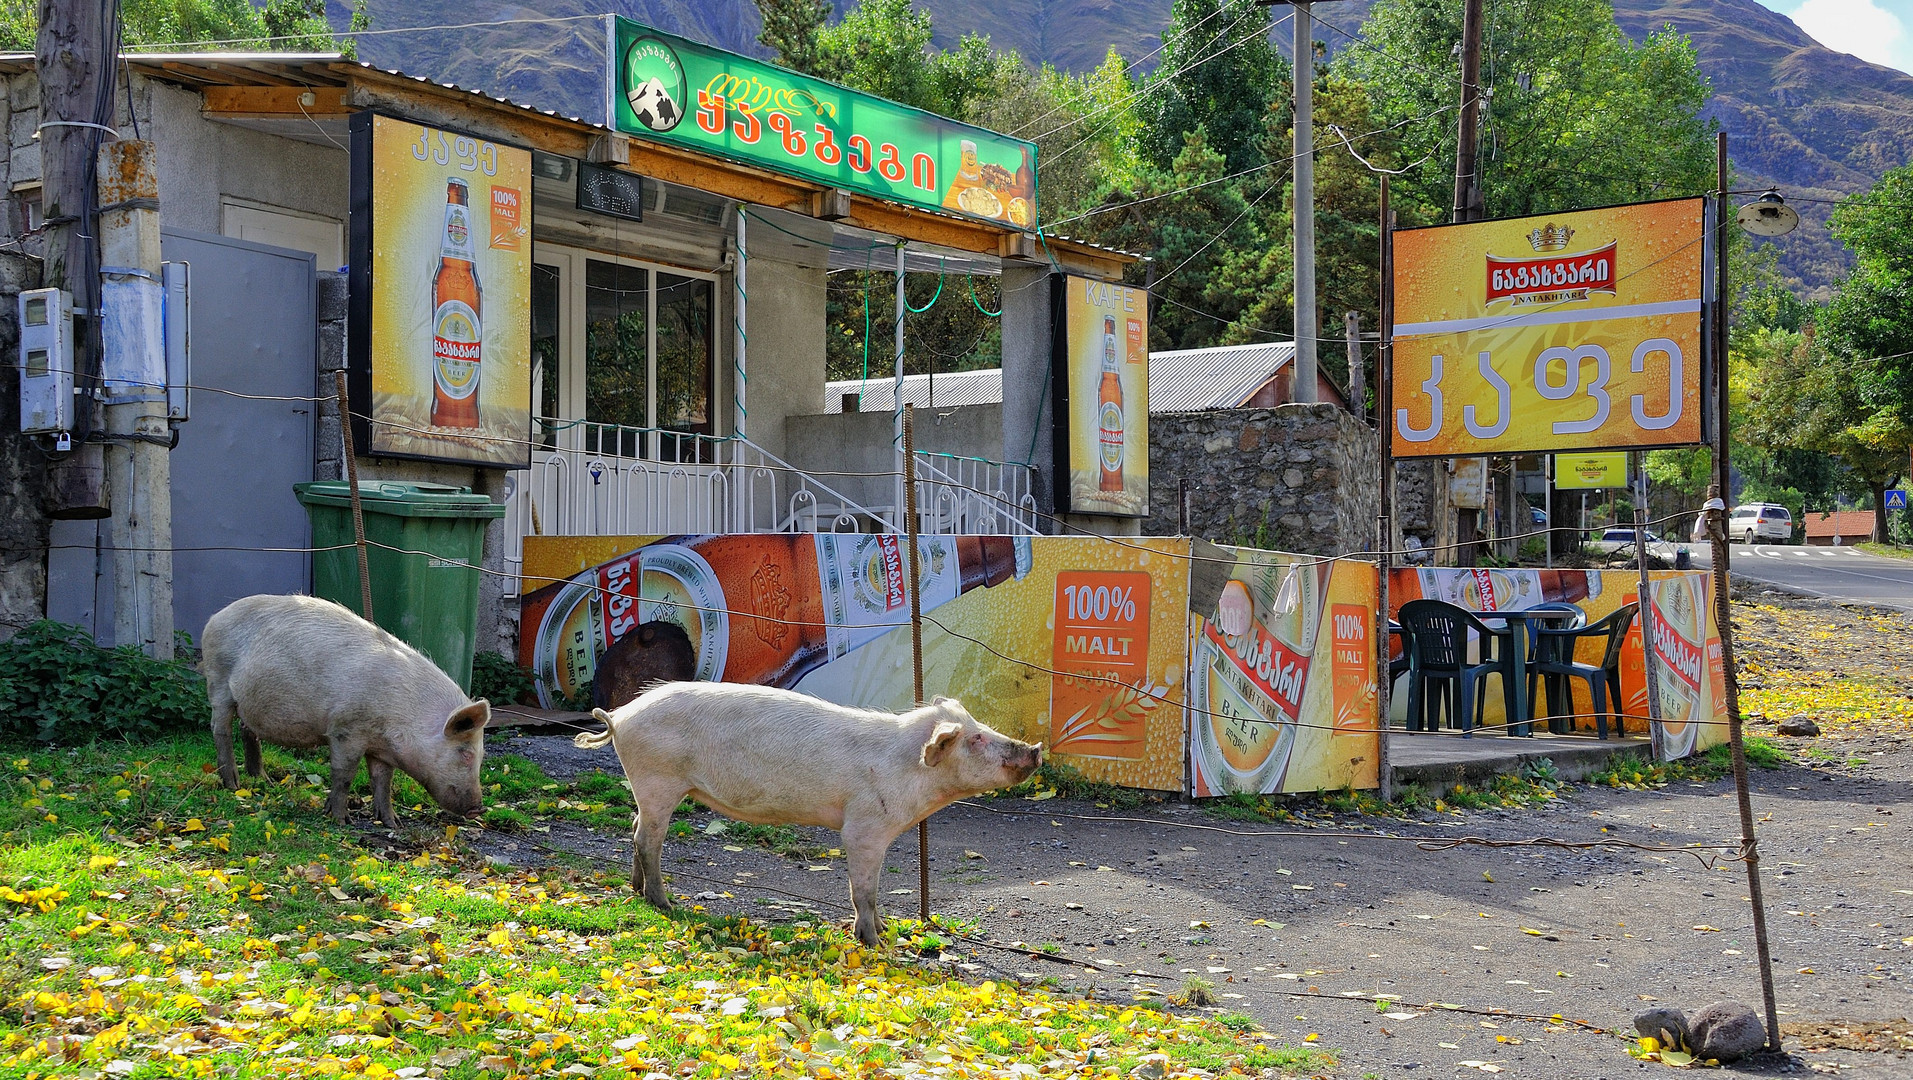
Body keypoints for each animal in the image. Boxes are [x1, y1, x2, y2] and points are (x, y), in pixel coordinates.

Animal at [196, 592, 485, 829]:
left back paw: (263, 781)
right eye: (465, 753)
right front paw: (340, 820)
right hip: (218, 680)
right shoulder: (346, 730)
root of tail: (215, 617)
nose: (479, 809)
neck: (405, 714)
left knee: (247, 729)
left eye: (481, 755)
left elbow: (383, 782)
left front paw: (393, 823)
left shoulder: (381, 748)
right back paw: (233, 784)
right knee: (220, 728)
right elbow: (344, 774)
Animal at [573, 680, 1040, 944]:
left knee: (635, 827)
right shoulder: (863, 827)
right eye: (975, 739)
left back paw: (637, 891)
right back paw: (663, 903)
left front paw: (886, 931)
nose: (1034, 749)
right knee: (647, 838)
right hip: (658, 780)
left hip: (650, 787)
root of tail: (619, 715)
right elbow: (864, 890)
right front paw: (873, 942)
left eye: (982, 727)